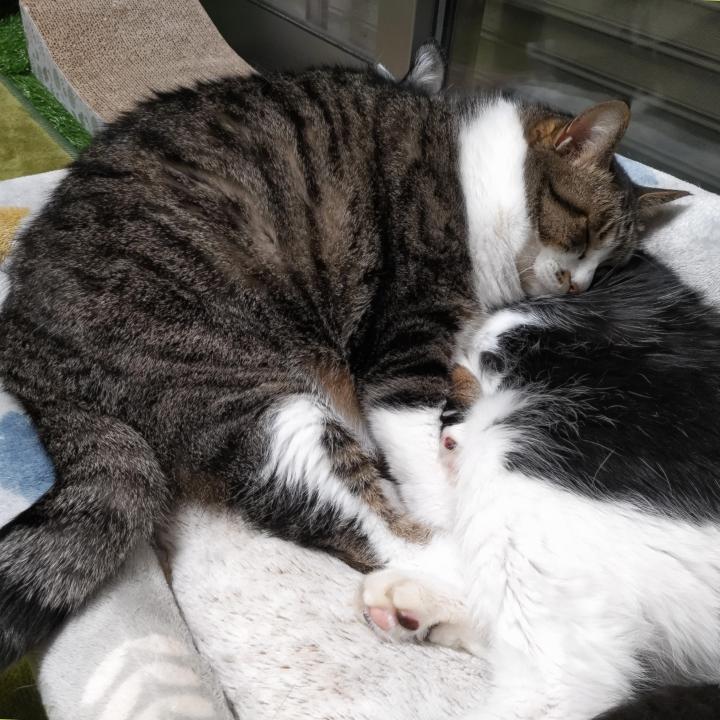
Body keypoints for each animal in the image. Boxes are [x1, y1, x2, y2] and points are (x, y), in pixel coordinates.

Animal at [0, 43, 683, 669]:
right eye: (589, 234)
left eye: (611, 266)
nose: (580, 287)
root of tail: (28, 343)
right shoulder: (402, 348)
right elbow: (419, 456)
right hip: (246, 393)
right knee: (367, 524)